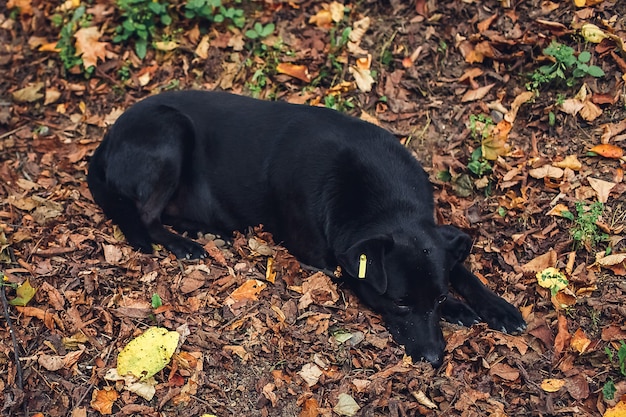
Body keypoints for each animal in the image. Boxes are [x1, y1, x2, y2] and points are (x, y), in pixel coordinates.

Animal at [88, 90, 524, 364]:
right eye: (400, 303)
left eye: (436, 298)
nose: (434, 359)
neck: (386, 202)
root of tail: (106, 138)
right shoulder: (328, 258)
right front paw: (462, 309)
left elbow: (460, 267)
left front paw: (496, 307)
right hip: (170, 130)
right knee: (147, 217)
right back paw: (184, 245)